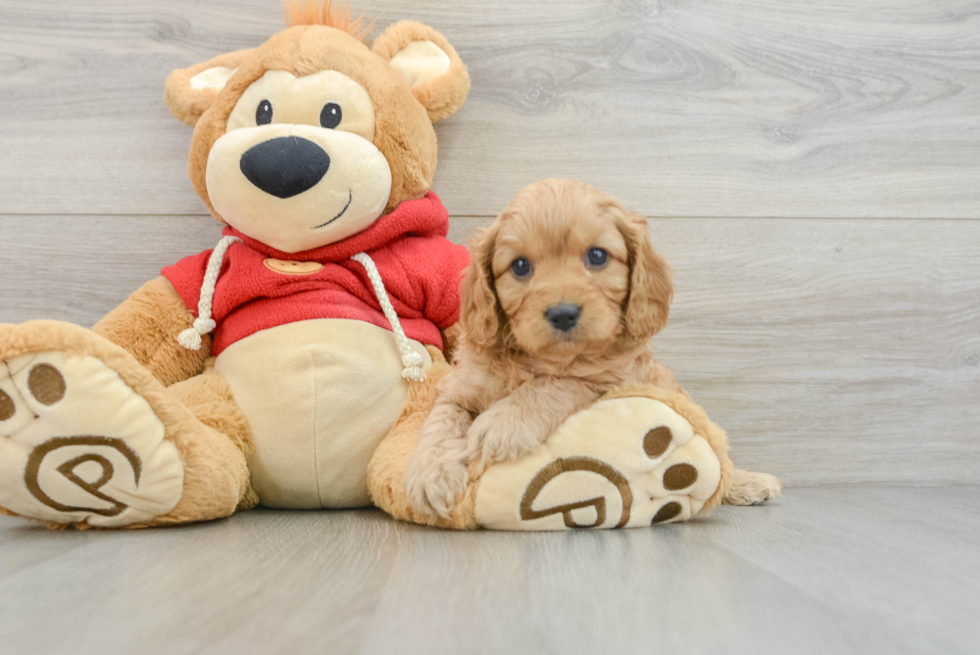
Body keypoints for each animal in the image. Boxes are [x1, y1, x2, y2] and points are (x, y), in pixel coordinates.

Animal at [406, 178, 780, 516]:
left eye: (597, 256)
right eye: (520, 266)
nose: (563, 313)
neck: (541, 358)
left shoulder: (611, 383)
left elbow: (560, 384)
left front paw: (504, 423)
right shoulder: (459, 388)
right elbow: (442, 420)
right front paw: (431, 475)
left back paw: (748, 483)